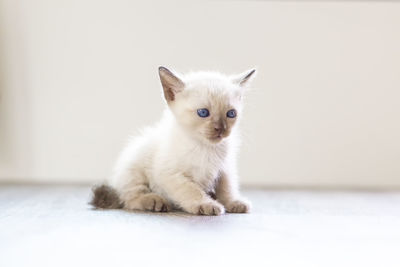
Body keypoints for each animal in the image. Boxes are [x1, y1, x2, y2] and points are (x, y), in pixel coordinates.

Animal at [90, 67, 256, 216]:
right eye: (203, 112)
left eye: (231, 114)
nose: (220, 129)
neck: (205, 147)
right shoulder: (171, 174)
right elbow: (191, 190)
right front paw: (206, 204)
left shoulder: (224, 169)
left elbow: (227, 188)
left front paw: (233, 202)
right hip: (134, 167)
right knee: (130, 199)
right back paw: (154, 202)